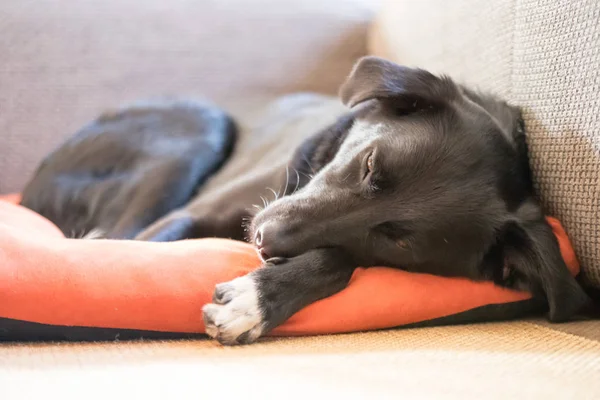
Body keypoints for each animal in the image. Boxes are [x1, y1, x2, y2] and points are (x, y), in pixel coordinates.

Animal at [21, 56, 588, 344]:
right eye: (370, 165)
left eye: (398, 243)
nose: (262, 240)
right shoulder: (184, 217)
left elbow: (336, 259)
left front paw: (257, 298)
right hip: (198, 128)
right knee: (111, 237)